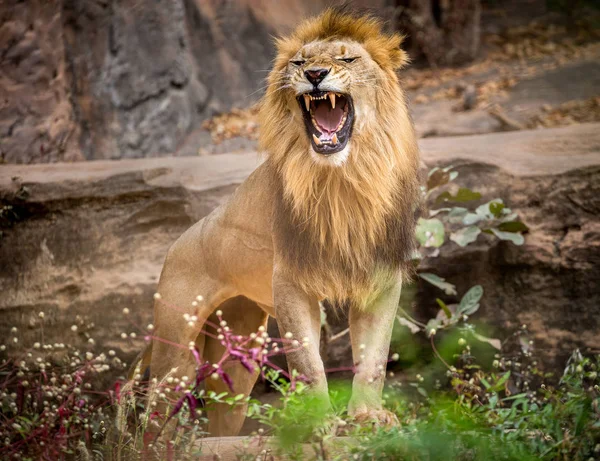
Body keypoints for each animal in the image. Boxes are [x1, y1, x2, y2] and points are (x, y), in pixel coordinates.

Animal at [138, 8, 420, 434]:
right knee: (152, 419)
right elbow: (307, 363)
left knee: (223, 418)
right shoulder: (290, 280)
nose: (316, 74)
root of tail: (175, 244)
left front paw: (369, 416)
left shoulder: (381, 277)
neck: (342, 179)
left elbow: (373, 359)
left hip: (237, 364)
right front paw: (318, 423)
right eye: (299, 62)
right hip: (176, 355)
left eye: (348, 58)